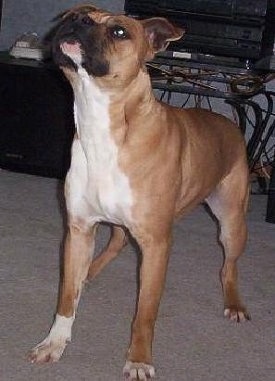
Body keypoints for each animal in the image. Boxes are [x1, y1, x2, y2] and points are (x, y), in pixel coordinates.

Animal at [29, 3, 251, 380]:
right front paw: (54, 342)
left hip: (231, 221)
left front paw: (138, 359)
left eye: (119, 31)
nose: (77, 21)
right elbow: (66, 298)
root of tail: (230, 121)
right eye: (76, 15)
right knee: (116, 242)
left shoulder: (156, 244)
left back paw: (234, 302)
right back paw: (88, 273)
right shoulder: (78, 230)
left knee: (228, 267)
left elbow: (145, 313)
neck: (104, 124)